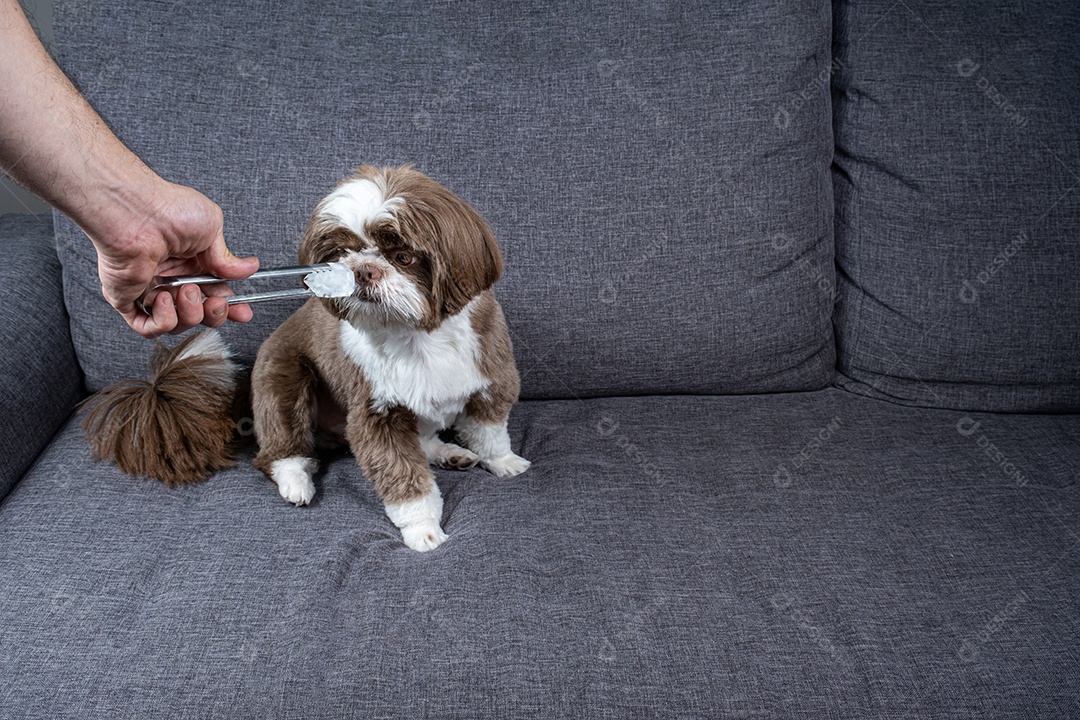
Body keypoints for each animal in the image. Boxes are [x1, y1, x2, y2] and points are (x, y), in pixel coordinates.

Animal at [82, 166, 529, 552]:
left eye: (403, 256)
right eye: (342, 251)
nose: (364, 270)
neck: (418, 337)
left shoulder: (491, 381)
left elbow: (489, 431)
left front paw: (504, 461)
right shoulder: (375, 414)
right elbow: (402, 474)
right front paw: (423, 528)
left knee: (424, 435)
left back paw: (447, 452)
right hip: (283, 381)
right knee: (280, 448)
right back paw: (296, 480)